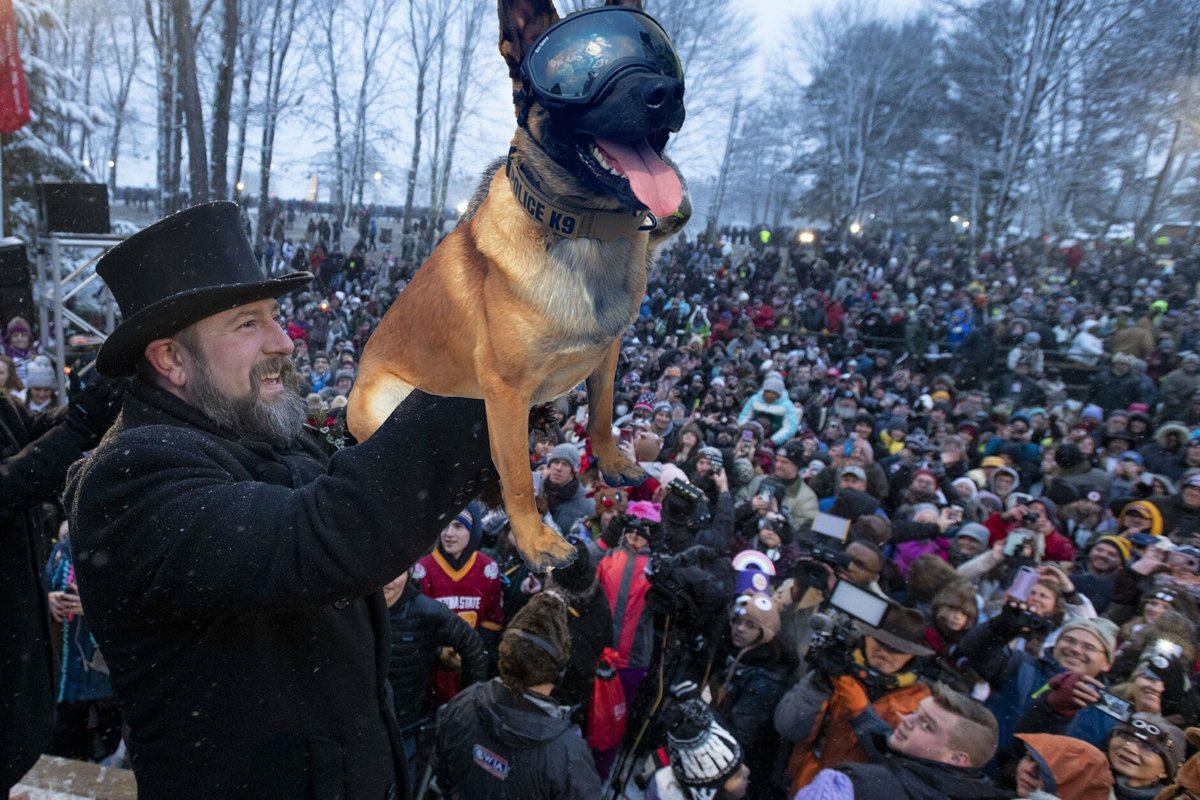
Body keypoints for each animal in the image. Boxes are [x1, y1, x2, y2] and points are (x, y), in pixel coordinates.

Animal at [348, 0, 691, 568]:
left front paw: (612, 460)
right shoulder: (505, 391)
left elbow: (602, 412)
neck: (583, 228)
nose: (665, 92)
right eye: (576, 73)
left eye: (657, 51)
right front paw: (534, 540)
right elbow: (515, 474)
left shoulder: (608, 352)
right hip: (387, 398)